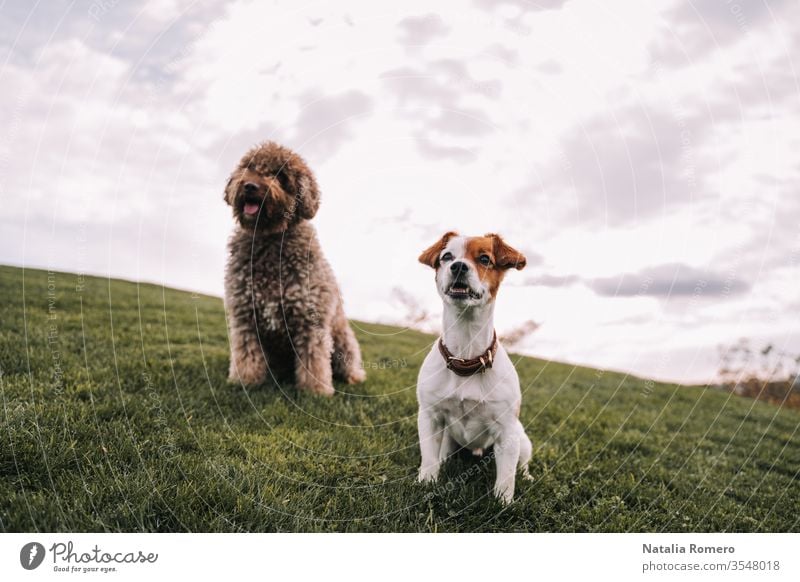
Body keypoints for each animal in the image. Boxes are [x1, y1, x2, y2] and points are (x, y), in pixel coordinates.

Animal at [222, 141, 366, 396]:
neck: (269, 239)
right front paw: (245, 382)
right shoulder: (244, 317)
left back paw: (353, 378)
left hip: (343, 341)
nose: (249, 186)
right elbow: (246, 355)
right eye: (249, 167)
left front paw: (315, 392)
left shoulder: (310, 321)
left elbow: (314, 361)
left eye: (280, 176)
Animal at [416, 230, 536, 504]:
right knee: (443, 452)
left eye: (484, 259)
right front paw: (426, 483)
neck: (465, 356)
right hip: (448, 436)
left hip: (522, 439)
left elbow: (506, 476)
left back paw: (527, 476)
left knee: (522, 464)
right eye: (446, 256)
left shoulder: (507, 431)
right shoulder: (429, 416)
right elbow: (428, 459)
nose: (458, 266)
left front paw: (503, 503)